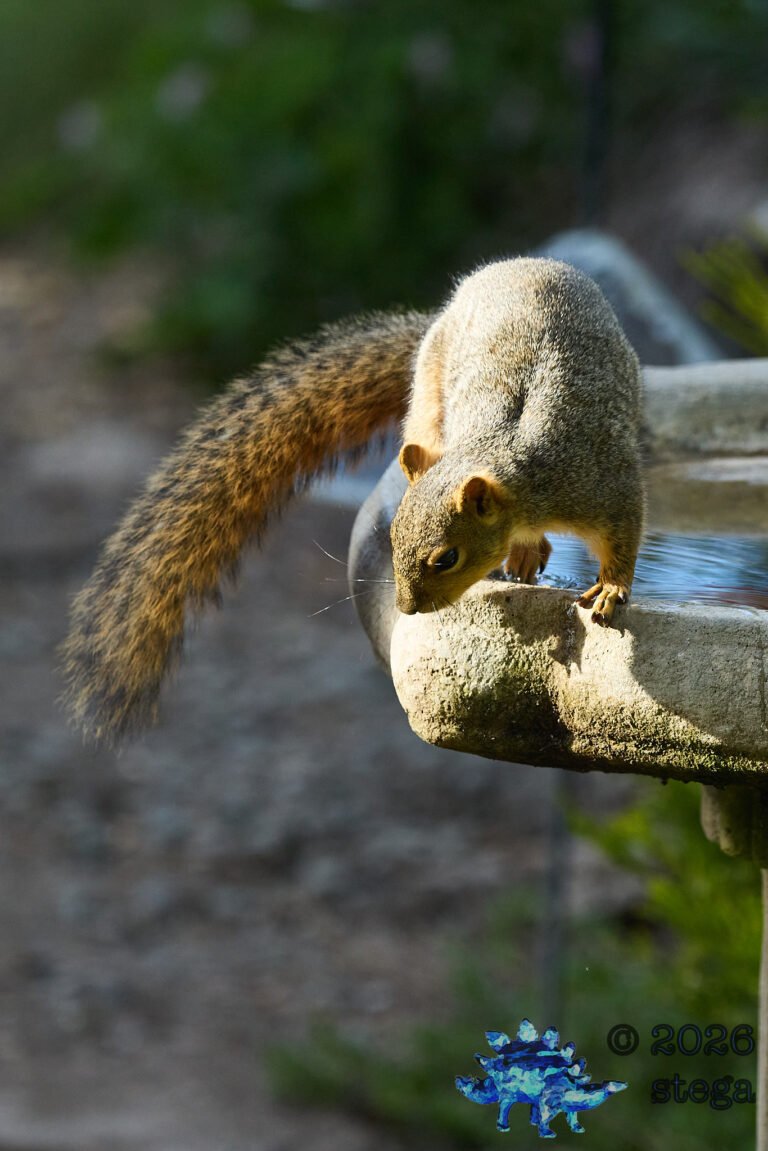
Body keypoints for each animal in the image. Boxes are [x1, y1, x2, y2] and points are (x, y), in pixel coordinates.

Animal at [61, 257, 644, 746]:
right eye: (392, 537)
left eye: (447, 558)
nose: (406, 608)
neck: (512, 463)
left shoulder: (598, 480)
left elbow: (623, 533)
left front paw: (611, 590)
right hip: (430, 396)